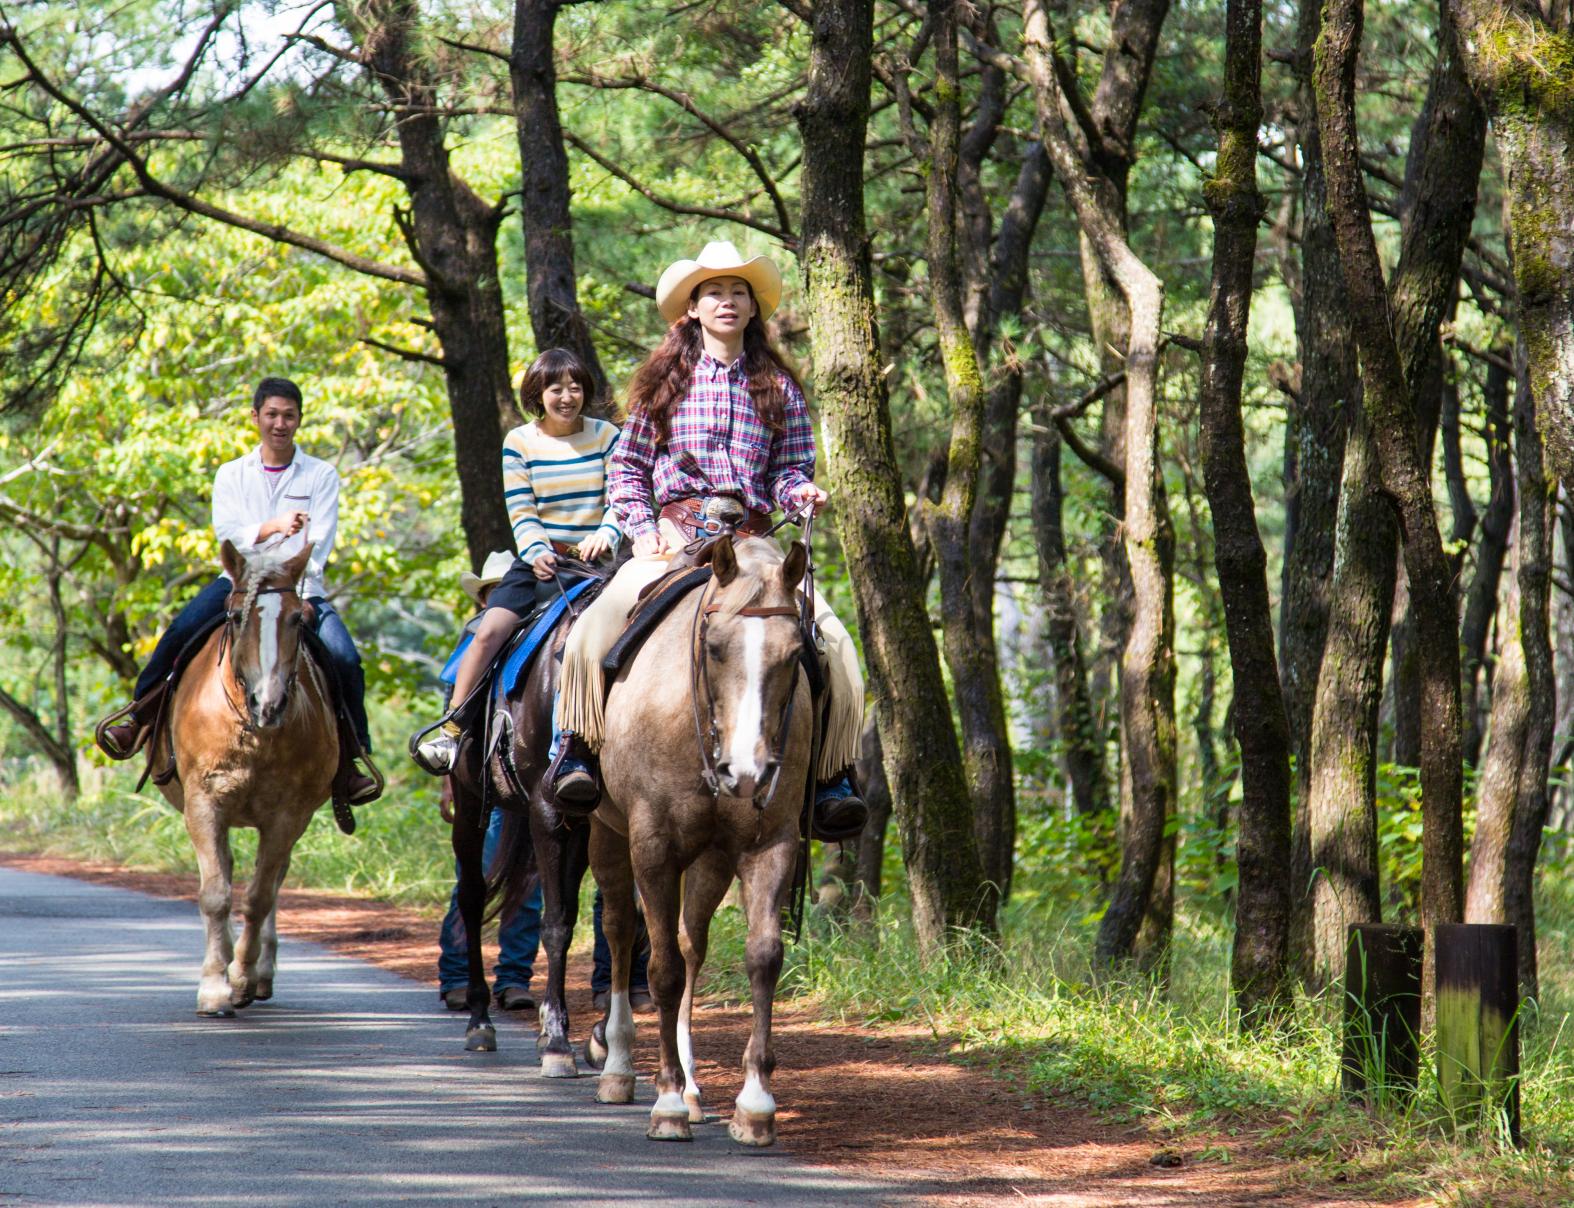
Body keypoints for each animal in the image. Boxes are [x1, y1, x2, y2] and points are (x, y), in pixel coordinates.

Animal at [156, 541, 338, 1014]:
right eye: (237, 616)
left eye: (297, 619)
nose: (267, 703)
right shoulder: (204, 804)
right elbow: (216, 894)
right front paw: (213, 986)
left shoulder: (287, 816)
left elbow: (259, 897)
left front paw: (240, 977)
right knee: (228, 871)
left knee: (271, 880)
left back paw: (259, 972)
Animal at [591, 535, 812, 1146]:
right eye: (713, 648)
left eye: (794, 654)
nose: (747, 772)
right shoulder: (652, 848)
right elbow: (660, 968)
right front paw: (665, 1102)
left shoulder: (771, 843)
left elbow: (763, 956)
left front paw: (755, 1104)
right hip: (606, 834)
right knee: (621, 931)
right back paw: (621, 1069)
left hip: (711, 859)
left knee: (693, 945)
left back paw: (692, 1091)